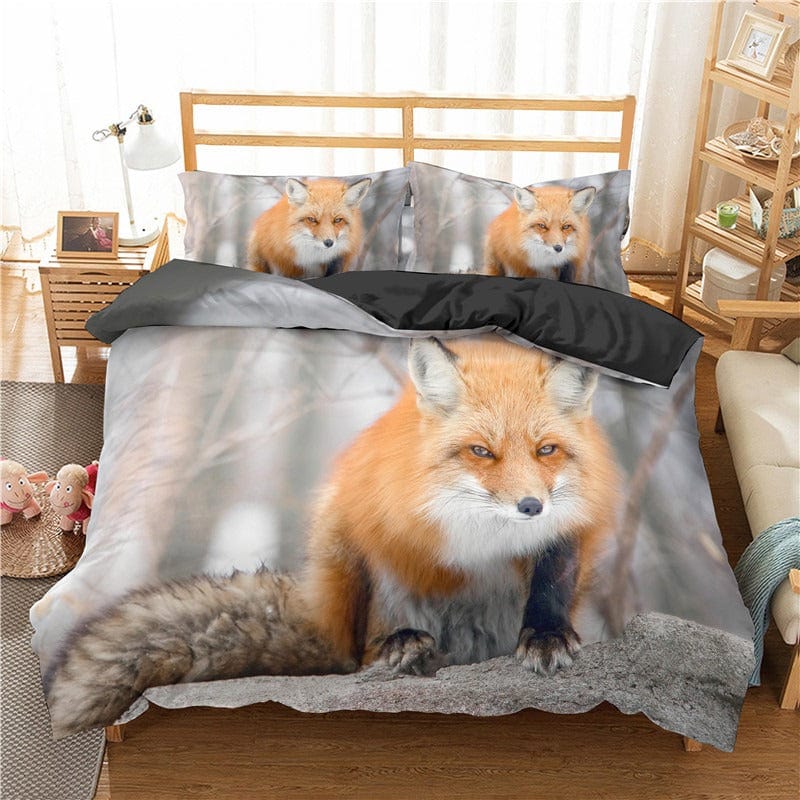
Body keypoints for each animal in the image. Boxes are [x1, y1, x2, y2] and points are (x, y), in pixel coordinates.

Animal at [44, 337, 620, 737]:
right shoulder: (383, 525)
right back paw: (403, 652)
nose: (531, 506)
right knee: (357, 656)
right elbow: (395, 595)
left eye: (546, 450)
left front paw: (546, 635)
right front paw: (400, 646)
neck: (481, 537)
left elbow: (550, 584)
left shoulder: (567, 528)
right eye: (481, 451)